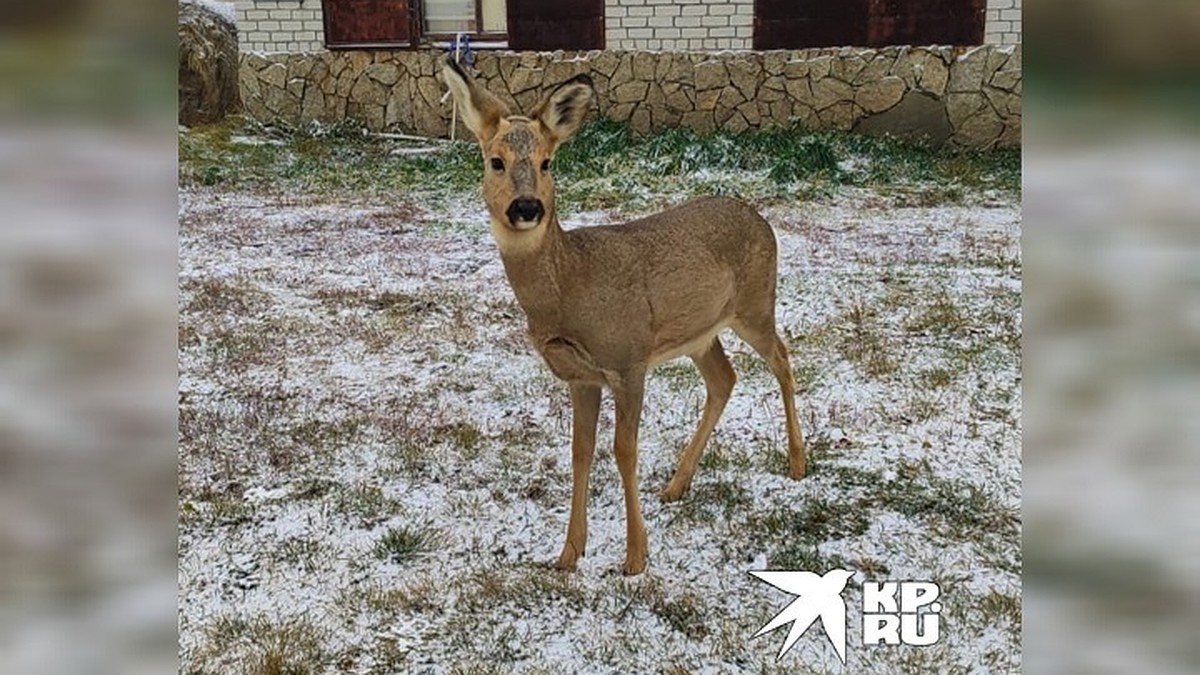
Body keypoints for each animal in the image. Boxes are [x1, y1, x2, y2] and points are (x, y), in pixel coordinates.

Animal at [441, 57, 806, 571]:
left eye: (547, 162)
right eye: (496, 161)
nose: (528, 207)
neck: (570, 288)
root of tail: (761, 219)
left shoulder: (628, 359)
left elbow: (624, 450)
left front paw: (635, 557)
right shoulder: (580, 376)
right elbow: (581, 452)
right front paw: (569, 553)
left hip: (756, 304)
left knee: (782, 359)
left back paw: (796, 463)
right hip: (700, 333)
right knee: (724, 378)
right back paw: (676, 484)